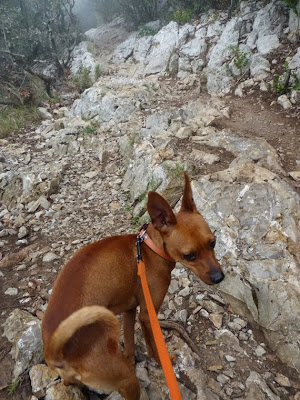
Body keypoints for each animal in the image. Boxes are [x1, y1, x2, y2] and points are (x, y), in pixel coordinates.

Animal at [42, 173, 225, 398]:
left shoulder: (129, 311)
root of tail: (55, 350)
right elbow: (153, 346)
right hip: (126, 381)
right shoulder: (147, 316)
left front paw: (131, 358)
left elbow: (129, 343)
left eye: (213, 243)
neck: (148, 249)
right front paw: (160, 361)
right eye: (189, 255)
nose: (219, 277)